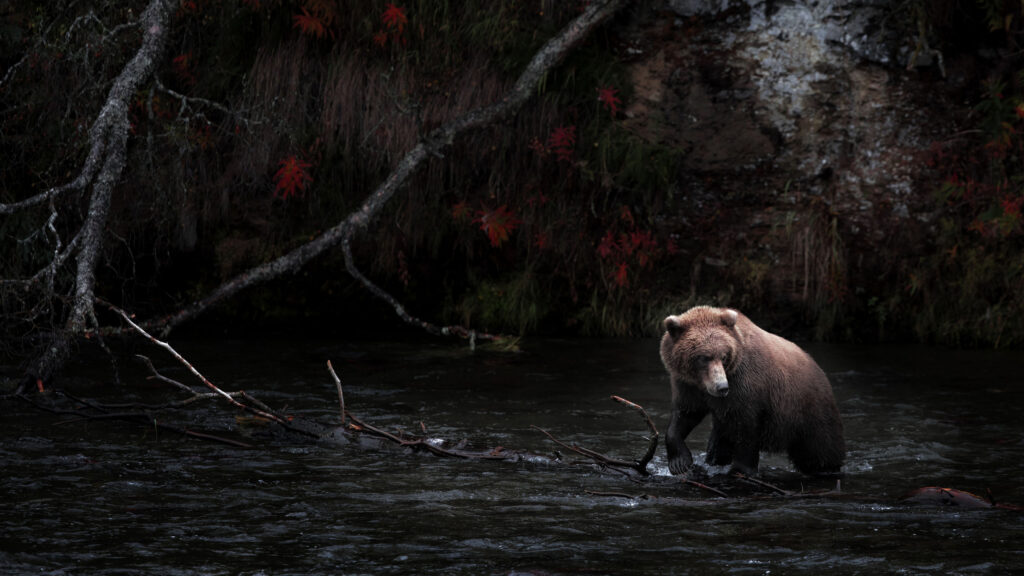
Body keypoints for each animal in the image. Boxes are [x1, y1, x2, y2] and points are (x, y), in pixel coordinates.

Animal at [659, 305, 845, 477]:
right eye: (703, 357)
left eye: (724, 356)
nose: (722, 387)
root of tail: (820, 371)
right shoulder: (689, 386)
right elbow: (686, 414)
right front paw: (680, 462)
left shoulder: (744, 385)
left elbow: (745, 427)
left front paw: (740, 469)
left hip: (807, 412)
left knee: (819, 450)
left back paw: (826, 468)